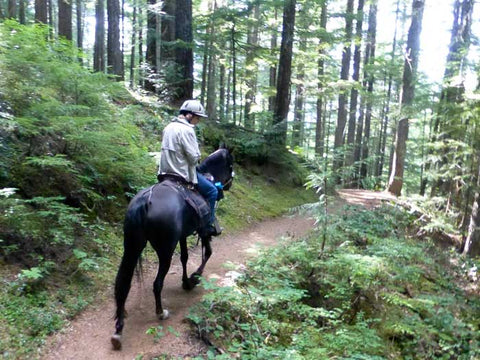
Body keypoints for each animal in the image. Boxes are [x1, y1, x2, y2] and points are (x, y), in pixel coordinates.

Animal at [111, 146, 234, 348]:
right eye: (231, 163)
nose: (230, 184)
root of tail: (146, 200)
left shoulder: (183, 235)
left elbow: (184, 257)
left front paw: (185, 281)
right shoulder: (203, 231)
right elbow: (208, 252)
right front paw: (194, 278)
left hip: (132, 246)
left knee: (123, 282)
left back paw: (119, 328)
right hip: (165, 250)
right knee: (157, 283)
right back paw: (161, 312)